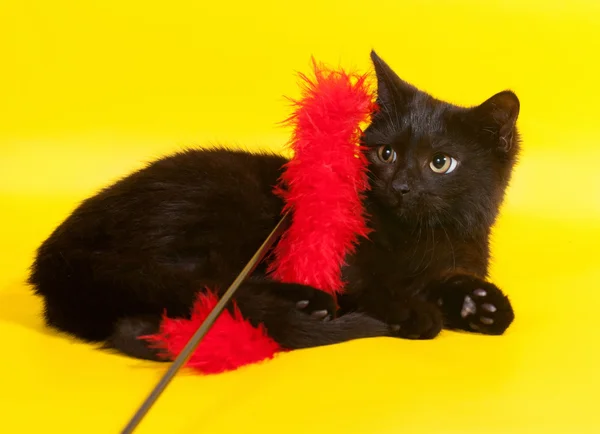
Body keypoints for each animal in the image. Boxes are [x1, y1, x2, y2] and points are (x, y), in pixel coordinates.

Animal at [28, 52, 516, 362]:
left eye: (440, 163)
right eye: (386, 154)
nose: (401, 186)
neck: (420, 237)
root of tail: (58, 255)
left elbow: (446, 278)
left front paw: (480, 304)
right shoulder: (330, 245)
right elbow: (363, 280)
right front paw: (411, 310)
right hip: (215, 202)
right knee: (209, 283)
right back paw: (309, 302)